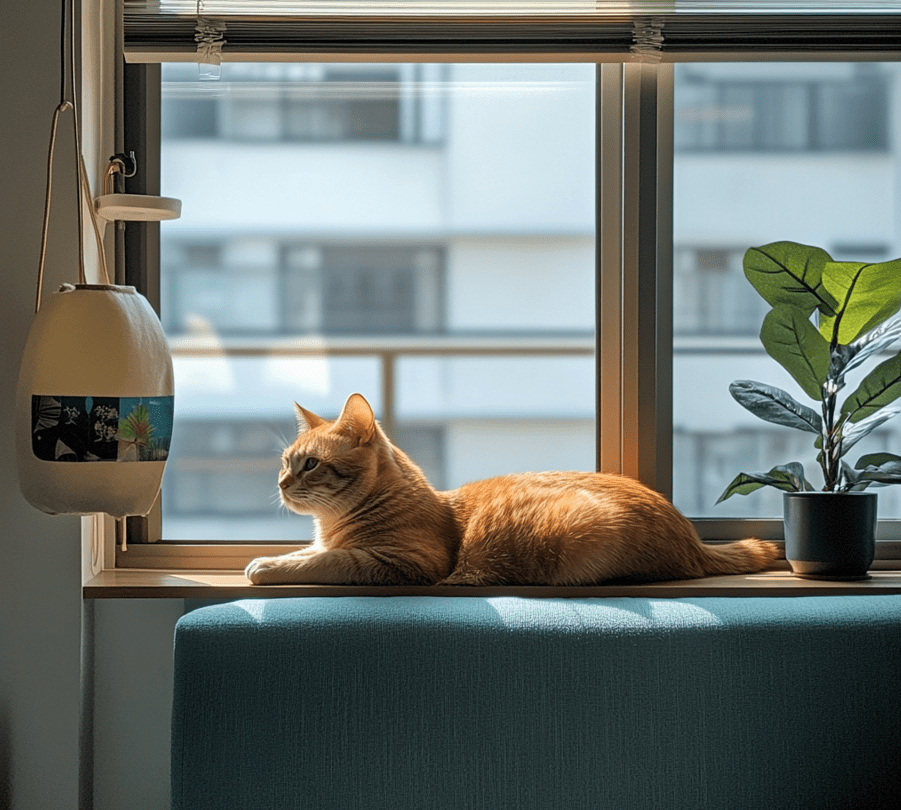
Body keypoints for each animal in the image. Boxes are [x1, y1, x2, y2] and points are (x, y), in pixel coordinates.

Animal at [243, 390, 776, 580]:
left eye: (310, 465)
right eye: (286, 462)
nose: (282, 483)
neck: (333, 525)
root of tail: (693, 538)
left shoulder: (407, 562)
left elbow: (330, 560)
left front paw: (268, 567)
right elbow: (309, 554)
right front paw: (274, 557)